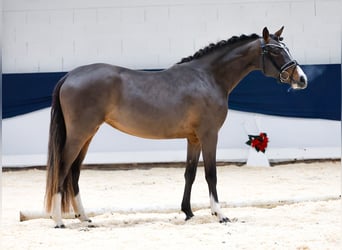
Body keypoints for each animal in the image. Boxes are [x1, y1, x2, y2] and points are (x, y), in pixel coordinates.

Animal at [44, 26, 308, 228]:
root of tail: (70, 76)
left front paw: (188, 212)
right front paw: (220, 214)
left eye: (286, 48)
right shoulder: (209, 135)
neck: (208, 77)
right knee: (63, 168)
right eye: (275, 50)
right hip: (79, 134)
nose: (302, 79)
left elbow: (189, 173)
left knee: (74, 172)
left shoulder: (194, 138)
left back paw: (84, 218)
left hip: (88, 135)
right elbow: (210, 174)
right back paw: (59, 220)